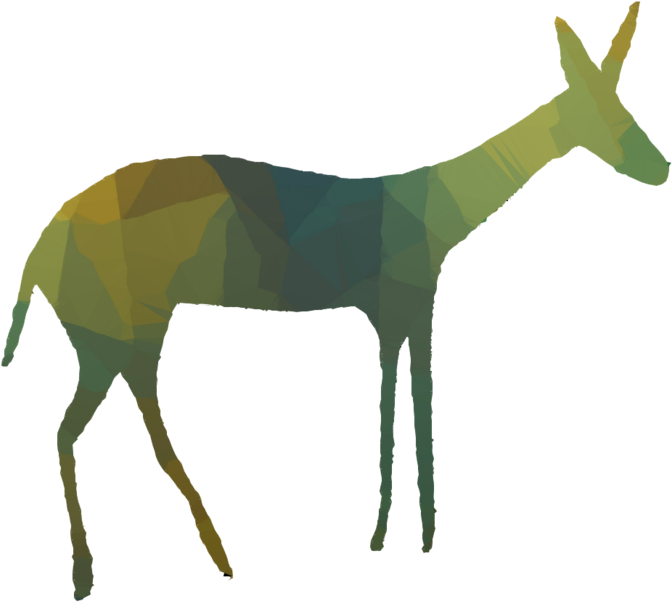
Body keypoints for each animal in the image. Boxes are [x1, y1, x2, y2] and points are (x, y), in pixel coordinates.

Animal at [1, 3, 668, 600]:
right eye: (605, 112)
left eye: (626, 105)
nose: (663, 170)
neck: (432, 207)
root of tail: (42, 244)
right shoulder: (393, 315)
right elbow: (396, 401)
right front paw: (389, 537)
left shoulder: (411, 315)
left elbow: (412, 400)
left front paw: (416, 537)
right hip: (112, 341)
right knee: (72, 431)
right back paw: (102, 577)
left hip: (131, 340)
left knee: (123, 425)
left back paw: (209, 557)